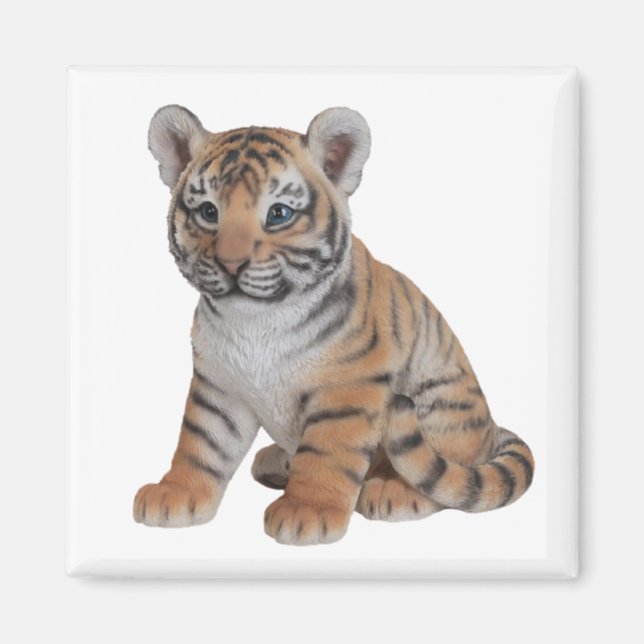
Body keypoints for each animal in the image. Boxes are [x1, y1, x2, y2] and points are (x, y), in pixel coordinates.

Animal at [132, 104, 535, 545]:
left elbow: (326, 452)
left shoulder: (348, 386)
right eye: (208, 212)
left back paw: (391, 492)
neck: (256, 320)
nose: (231, 264)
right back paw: (277, 462)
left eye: (278, 214)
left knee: (445, 478)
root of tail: (491, 430)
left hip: (441, 406)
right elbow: (202, 442)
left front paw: (306, 511)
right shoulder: (219, 384)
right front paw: (174, 493)